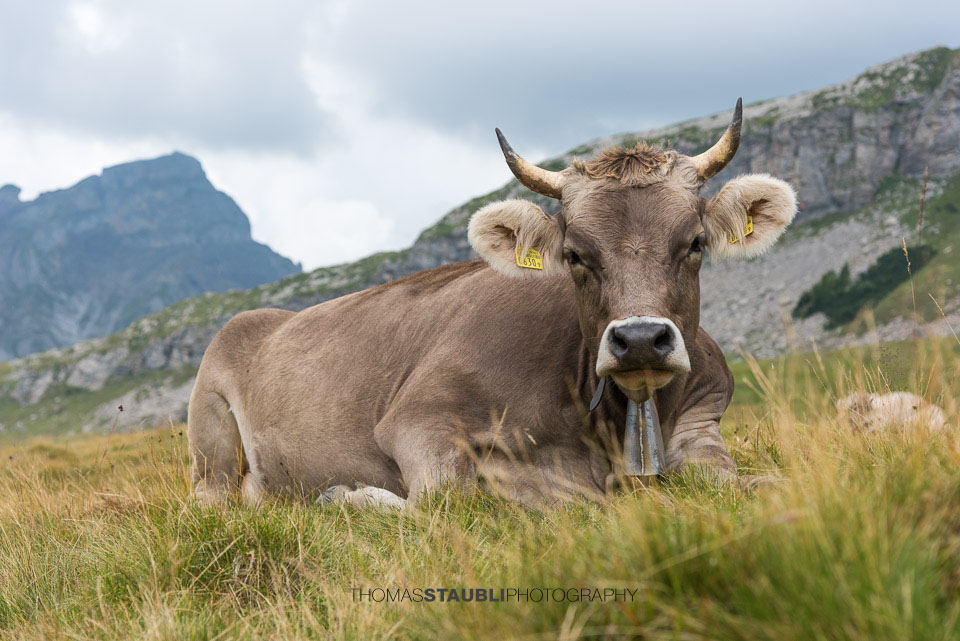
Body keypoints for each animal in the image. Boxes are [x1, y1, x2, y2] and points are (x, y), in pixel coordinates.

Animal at [187, 99, 798, 508]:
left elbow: (752, 482)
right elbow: (451, 496)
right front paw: (351, 496)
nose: (642, 339)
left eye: (694, 243)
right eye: (575, 254)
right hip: (210, 434)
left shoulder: (702, 424)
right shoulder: (418, 419)